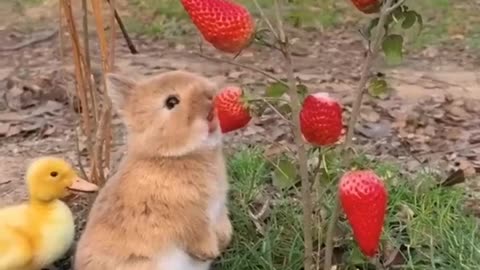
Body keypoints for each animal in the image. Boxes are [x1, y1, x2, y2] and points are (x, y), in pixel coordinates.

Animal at [73, 70, 232, 270]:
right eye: (171, 102)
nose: (211, 99)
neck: (169, 156)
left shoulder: (218, 208)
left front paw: (224, 238)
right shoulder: (187, 217)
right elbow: (196, 232)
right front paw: (209, 252)